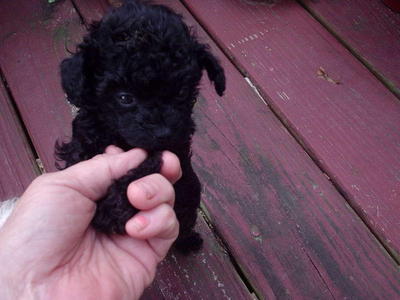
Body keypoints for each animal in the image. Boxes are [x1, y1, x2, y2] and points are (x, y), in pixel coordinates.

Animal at [55, 0, 227, 253]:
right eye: (125, 98)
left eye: (182, 92)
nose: (164, 133)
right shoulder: (84, 138)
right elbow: (81, 160)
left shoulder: (174, 150)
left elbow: (148, 163)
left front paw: (111, 208)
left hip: (188, 195)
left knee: (184, 222)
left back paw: (188, 241)